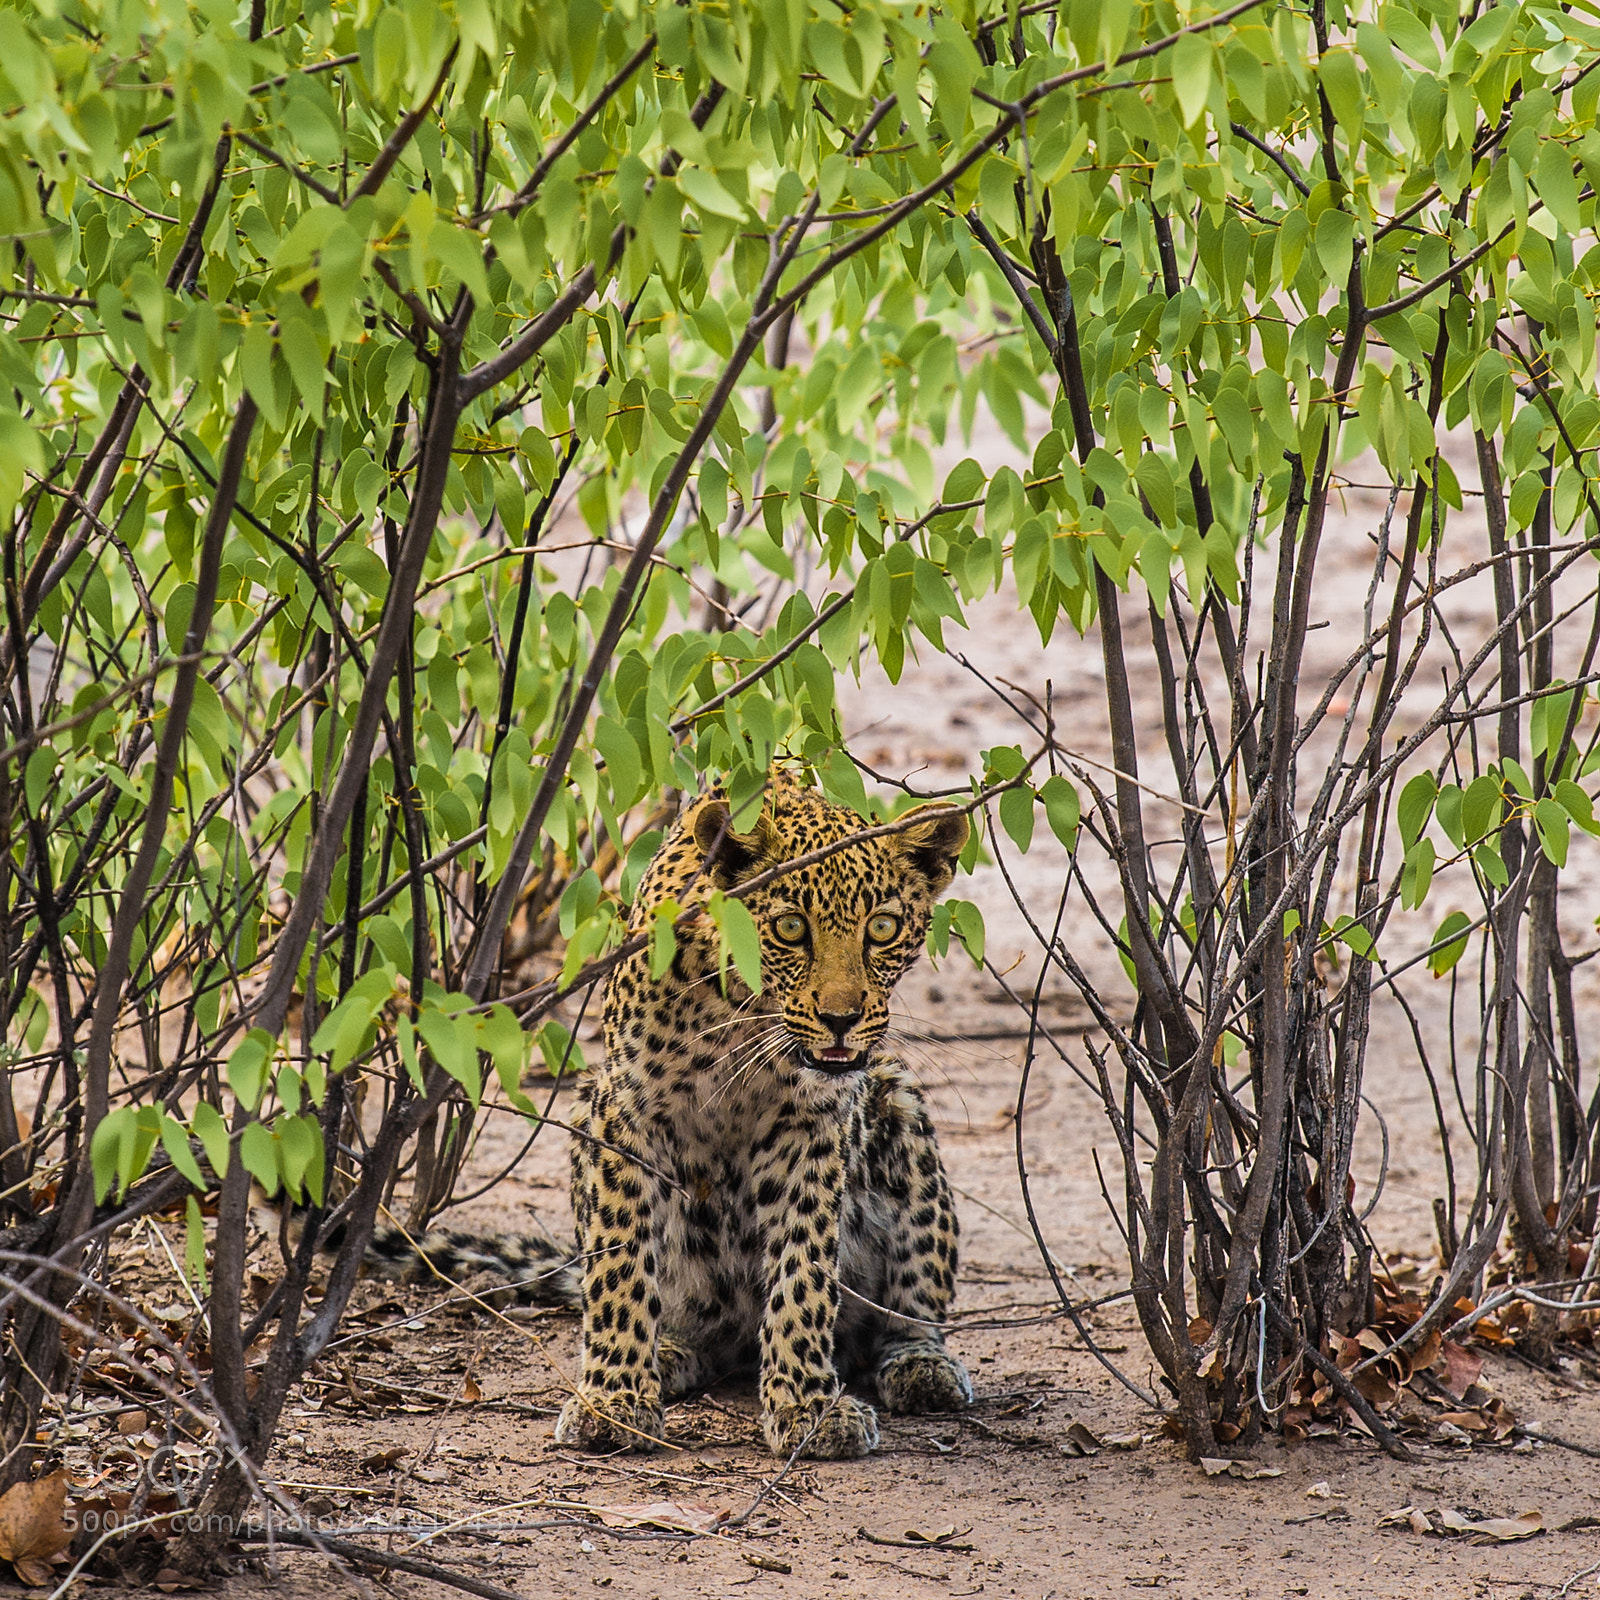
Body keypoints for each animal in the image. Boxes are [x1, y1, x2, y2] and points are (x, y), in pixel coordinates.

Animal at [549, 773, 974, 1460]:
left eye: (882, 928)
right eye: (791, 928)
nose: (840, 1019)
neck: (743, 1014)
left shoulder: (810, 1126)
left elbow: (804, 1266)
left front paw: (808, 1404)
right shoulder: (626, 1113)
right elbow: (620, 1258)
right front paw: (612, 1397)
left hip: (898, 1099)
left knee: (912, 1300)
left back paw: (921, 1364)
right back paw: (668, 1353)